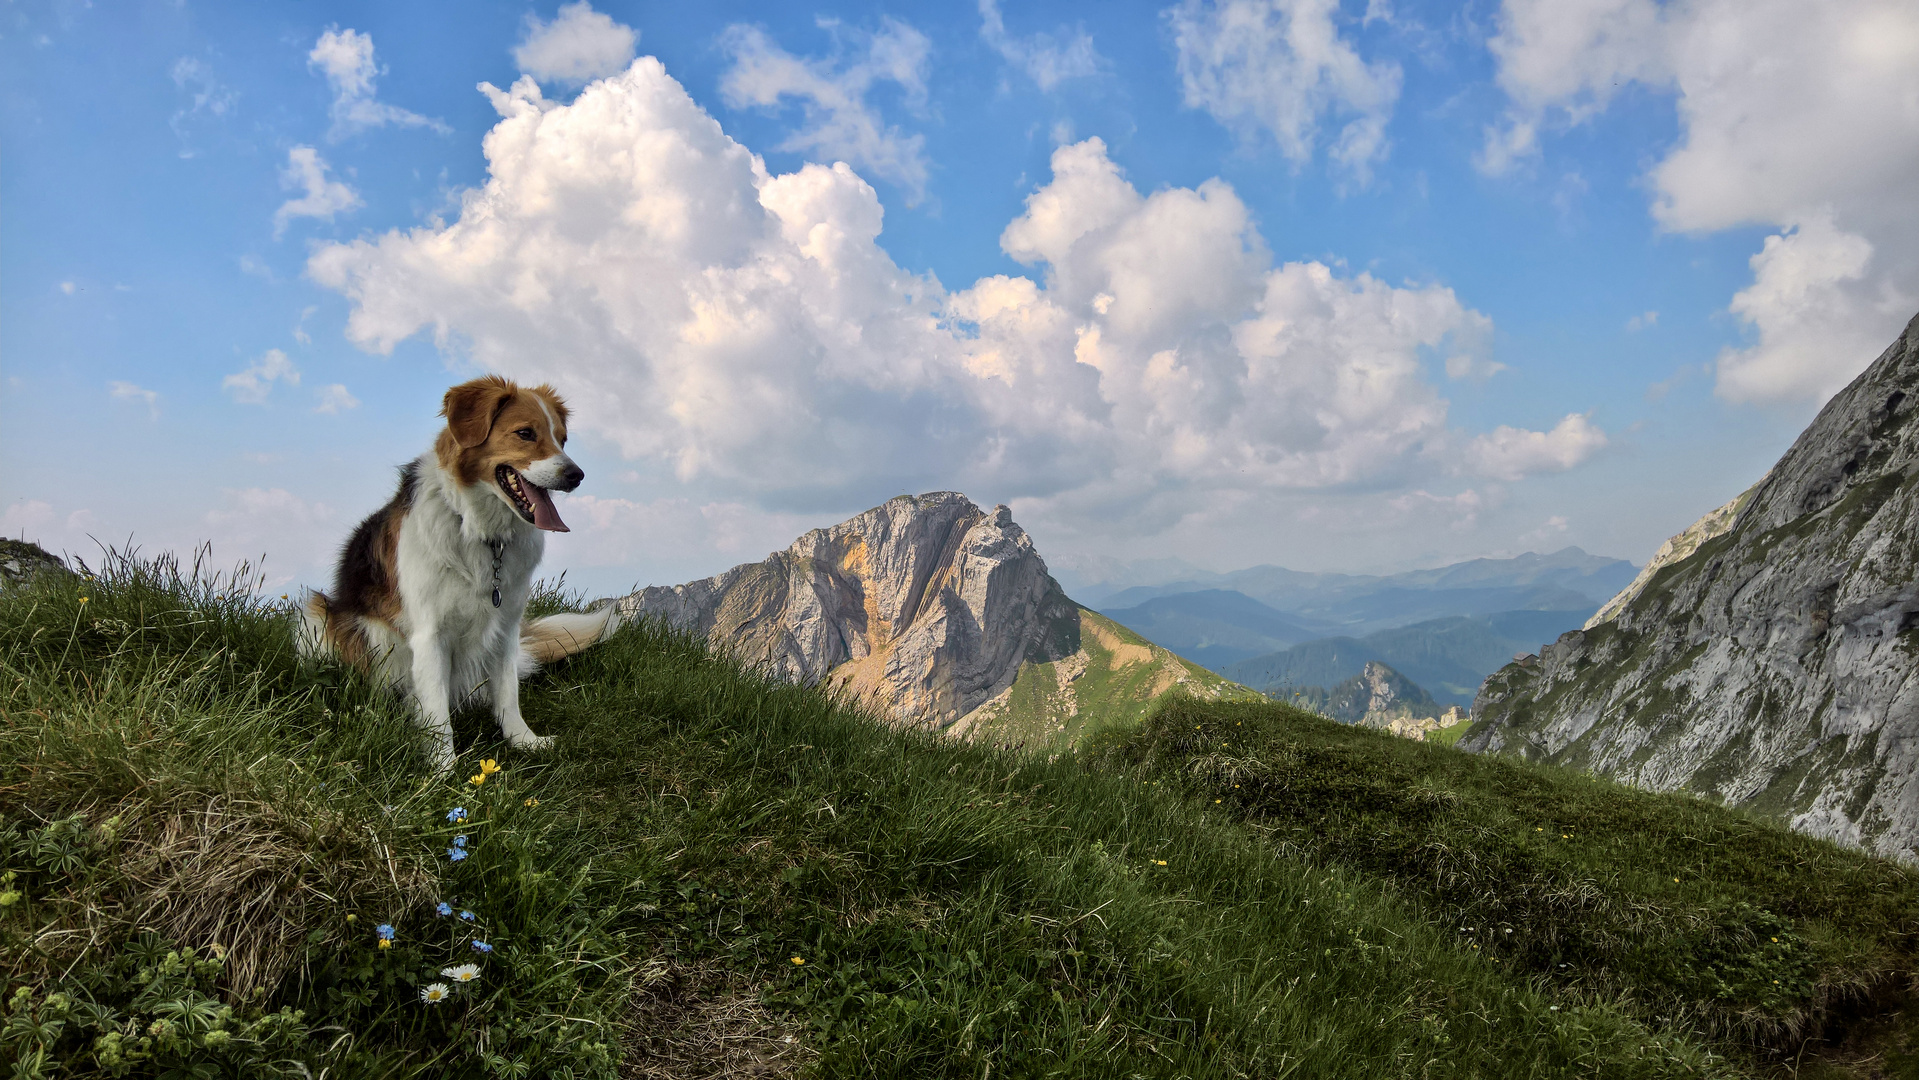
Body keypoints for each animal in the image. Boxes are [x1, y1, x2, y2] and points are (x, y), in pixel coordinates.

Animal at [297, 375, 621, 774]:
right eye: (525, 433)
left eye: (562, 439)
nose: (576, 475)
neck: (482, 532)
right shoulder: (429, 634)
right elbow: (437, 713)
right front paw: (443, 771)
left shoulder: (506, 626)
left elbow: (508, 695)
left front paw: (524, 742)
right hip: (317, 617)